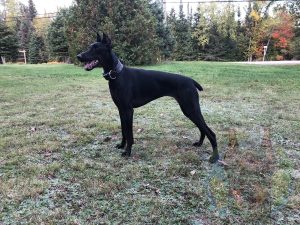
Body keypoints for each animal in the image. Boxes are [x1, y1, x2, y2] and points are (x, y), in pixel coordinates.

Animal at [76, 32, 219, 163]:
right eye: (89, 47)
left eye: (96, 48)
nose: (78, 56)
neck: (117, 74)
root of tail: (191, 81)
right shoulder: (121, 110)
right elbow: (123, 131)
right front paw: (121, 145)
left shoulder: (128, 110)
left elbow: (129, 133)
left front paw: (127, 152)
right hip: (190, 110)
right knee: (203, 129)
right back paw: (199, 144)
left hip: (190, 109)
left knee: (211, 132)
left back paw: (214, 157)